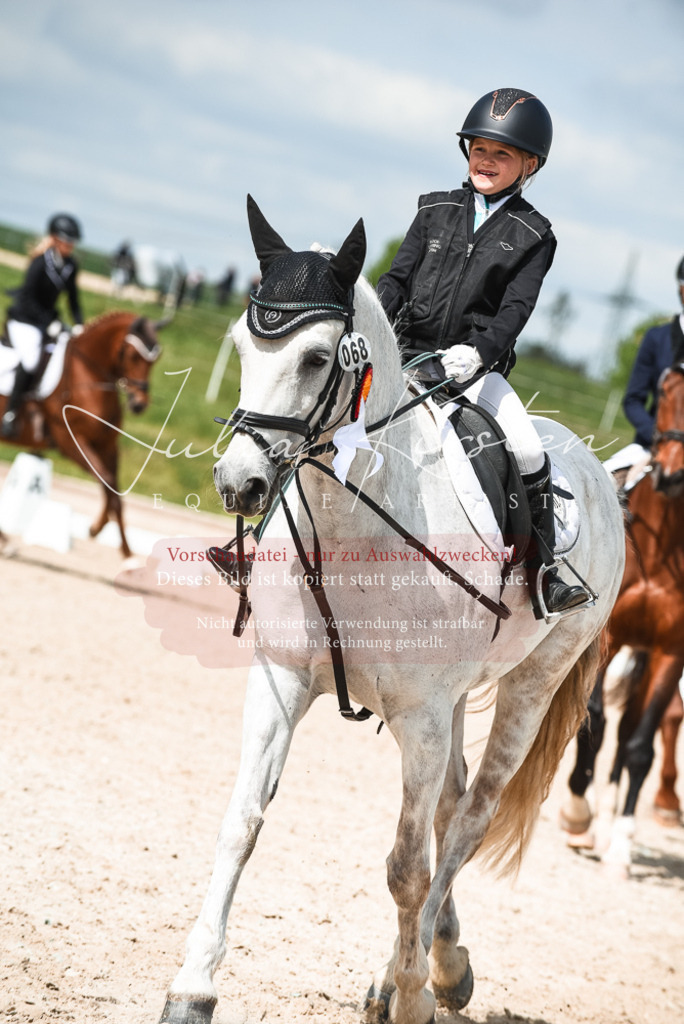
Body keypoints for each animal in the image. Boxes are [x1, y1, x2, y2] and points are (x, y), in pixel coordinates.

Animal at [0, 310, 164, 558]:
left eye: (156, 358)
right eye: (133, 356)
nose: (139, 404)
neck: (87, 375)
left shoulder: (107, 446)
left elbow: (114, 491)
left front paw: (114, 542)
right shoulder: (70, 442)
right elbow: (106, 480)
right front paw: (119, 547)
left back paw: (6, 543)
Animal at [159, 197, 624, 1024]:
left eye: (318, 359)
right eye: (244, 343)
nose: (239, 484)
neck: (355, 526)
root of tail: (596, 467)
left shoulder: (421, 718)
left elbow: (406, 867)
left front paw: (407, 996)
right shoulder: (282, 680)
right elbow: (242, 822)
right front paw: (193, 985)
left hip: (529, 684)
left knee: (468, 818)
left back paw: (416, 975)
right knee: (450, 809)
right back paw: (449, 960)